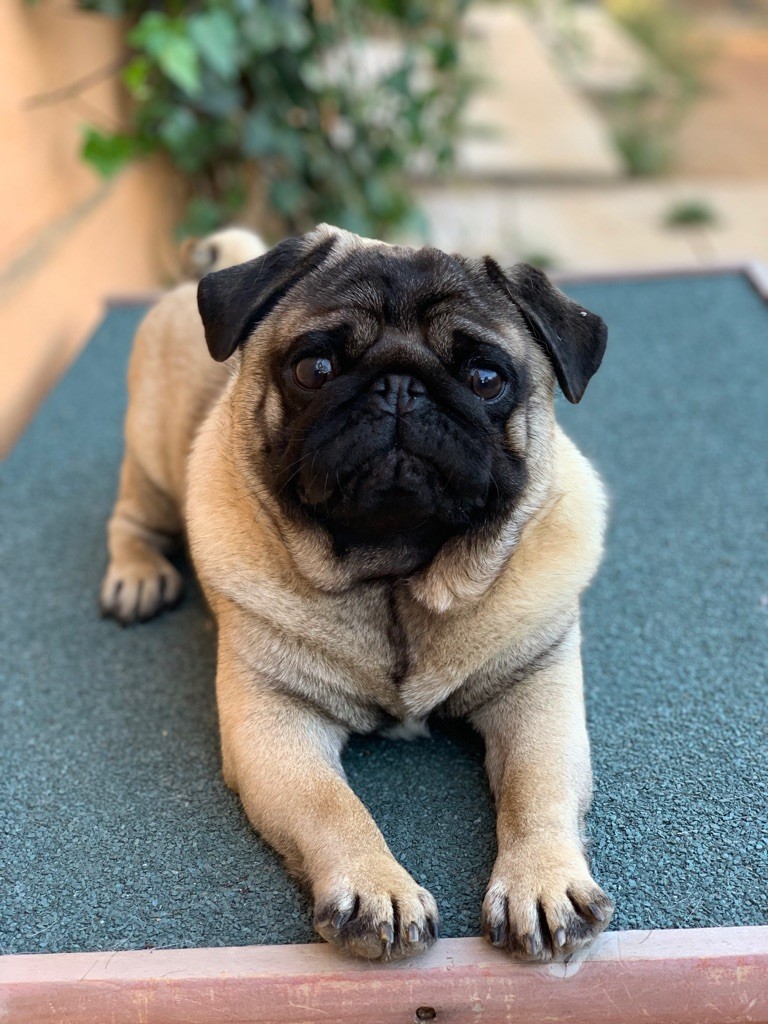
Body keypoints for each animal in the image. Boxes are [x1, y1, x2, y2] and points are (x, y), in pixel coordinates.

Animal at [101, 224, 612, 962]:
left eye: (485, 378)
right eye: (314, 368)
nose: (399, 385)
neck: (395, 576)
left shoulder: (536, 689)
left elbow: (535, 787)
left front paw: (541, 881)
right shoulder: (276, 719)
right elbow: (332, 806)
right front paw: (377, 888)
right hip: (148, 459)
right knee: (130, 517)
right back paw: (137, 576)